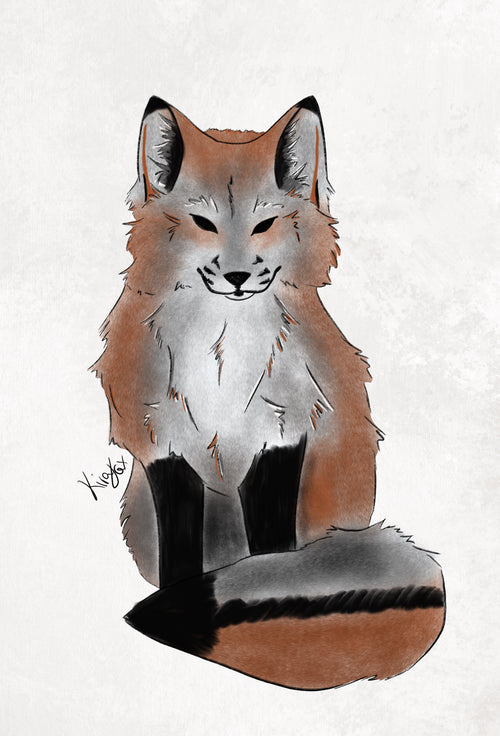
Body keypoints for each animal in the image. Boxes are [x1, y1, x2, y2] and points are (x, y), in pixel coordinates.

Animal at [92, 96, 445, 689]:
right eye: (204, 223)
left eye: (265, 224)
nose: (236, 276)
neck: (221, 361)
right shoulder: (162, 442)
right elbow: (180, 552)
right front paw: (181, 597)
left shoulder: (282, 432)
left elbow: (272, 555)